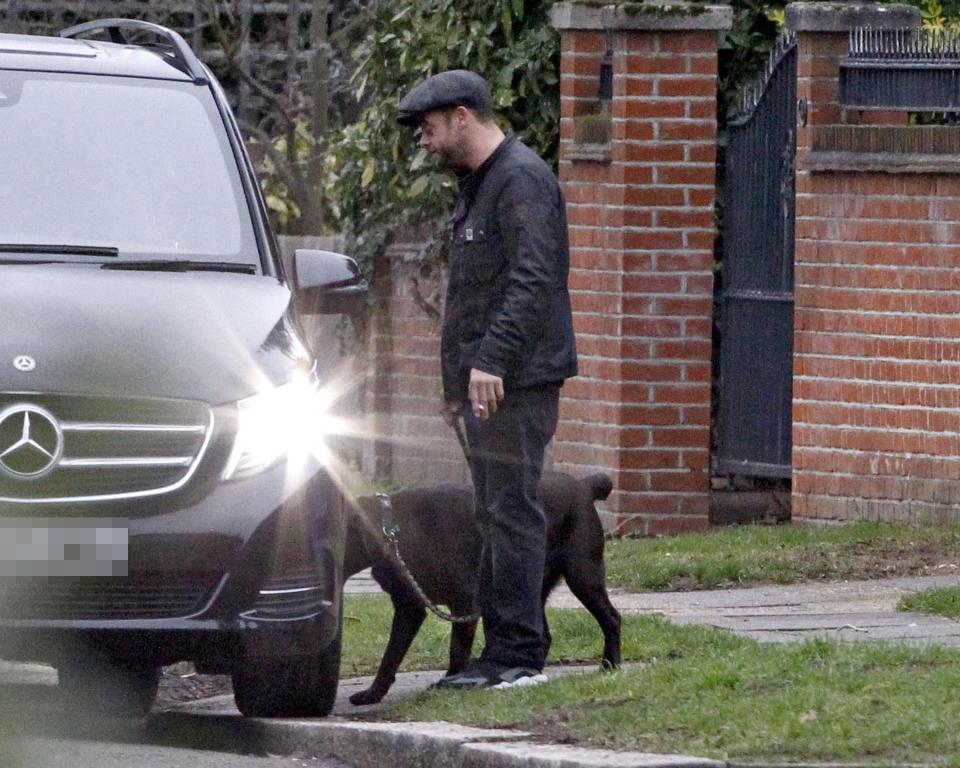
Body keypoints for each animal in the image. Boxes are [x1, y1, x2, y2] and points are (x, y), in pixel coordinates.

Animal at [344, 474, 624, 708]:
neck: (393, 528)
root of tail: (584, 484)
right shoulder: (409, 607)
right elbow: (391, 655)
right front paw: (373, 693)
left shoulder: (462, 603)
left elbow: (456, 650)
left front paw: (450, 683)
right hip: (529, 590)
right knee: (542, 634)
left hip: (583, 575)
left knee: (611, 618)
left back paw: (610, 665)